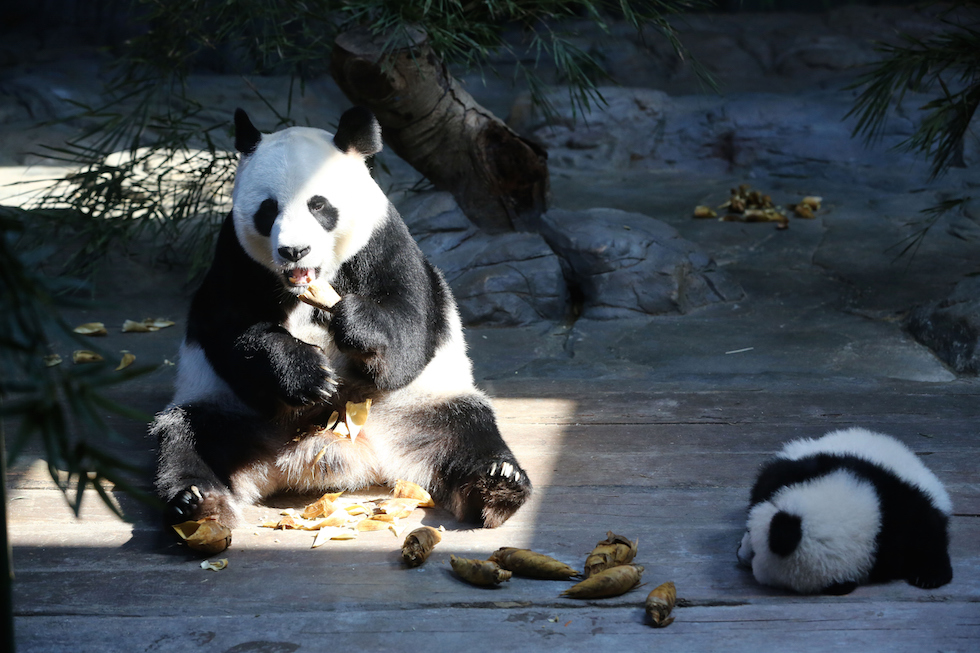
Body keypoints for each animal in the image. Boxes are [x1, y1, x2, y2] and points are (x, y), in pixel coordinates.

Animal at [151, 107, 531, 531]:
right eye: (268, 209)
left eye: (319, 206)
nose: (294, 250)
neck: (308, 282)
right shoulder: (234, 257)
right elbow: (231, 330)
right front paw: (307, 374)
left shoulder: (383, 241)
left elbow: (410, 326)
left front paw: (353, 322)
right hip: (231, 411)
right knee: (190, 435)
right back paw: (197, 503)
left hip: (419, 409)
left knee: (467, 430)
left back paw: (497, 486)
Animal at [736, 427, 953, 595]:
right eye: (748, 530)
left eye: (754, 553)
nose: (740, 556)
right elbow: (774, 478)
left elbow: (926, 530)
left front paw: (930, 575)